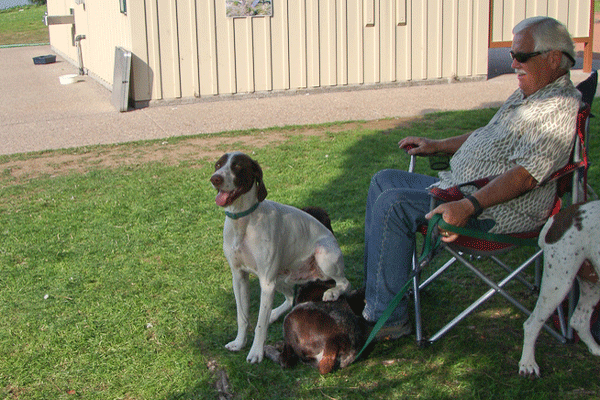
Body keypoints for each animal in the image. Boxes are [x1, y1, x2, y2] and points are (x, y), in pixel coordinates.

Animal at [211, 152, 352, 362]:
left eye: (237, 166)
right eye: (218, 165)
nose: (215, 179)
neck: (243, 221)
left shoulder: (266, 282)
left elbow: (259, 325)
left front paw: (256, 352)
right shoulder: (239, 277)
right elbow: (242, 317)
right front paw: (239, 343)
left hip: (323, 256)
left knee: (344, 282)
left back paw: (332, 292)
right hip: (280, 278)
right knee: (290, 298)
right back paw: (274, 313)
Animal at [520, 202, 600, 376]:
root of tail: (559, 216)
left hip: (592, 283)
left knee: (579, 320)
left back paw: (596, 348)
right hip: (558, 283)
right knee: (531, 324)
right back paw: (528, 363)